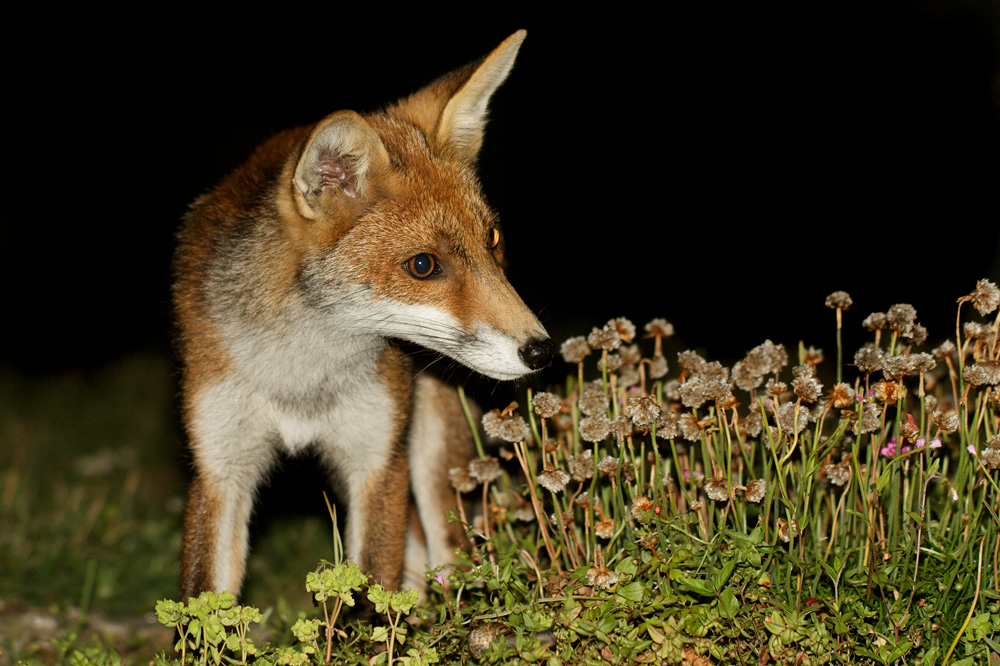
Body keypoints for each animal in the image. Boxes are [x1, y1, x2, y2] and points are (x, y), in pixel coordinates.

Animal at [172, 30, 553, 600]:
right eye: (423, 265)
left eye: (492, 239)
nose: (541, 350)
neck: (301, 371)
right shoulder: (220, 465)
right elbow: (203, 606)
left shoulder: (377, 460)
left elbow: (372, 595)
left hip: (430, 456)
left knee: (446, 552)